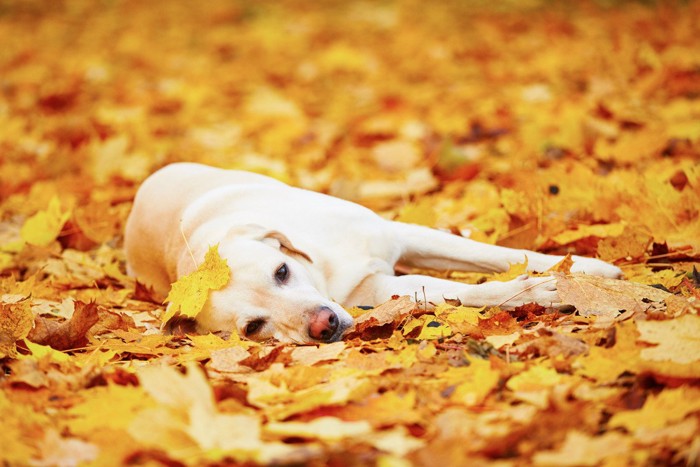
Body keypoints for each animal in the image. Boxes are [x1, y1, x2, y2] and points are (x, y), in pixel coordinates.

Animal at [123, 162, 620, 344]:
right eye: (253, 327)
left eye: (281, 271)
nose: (323, 326)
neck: (323, 268)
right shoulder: (379, 289)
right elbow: (460, 289)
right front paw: (547, 290)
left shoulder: (402, 232)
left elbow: (488, 253)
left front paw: (587, 267)